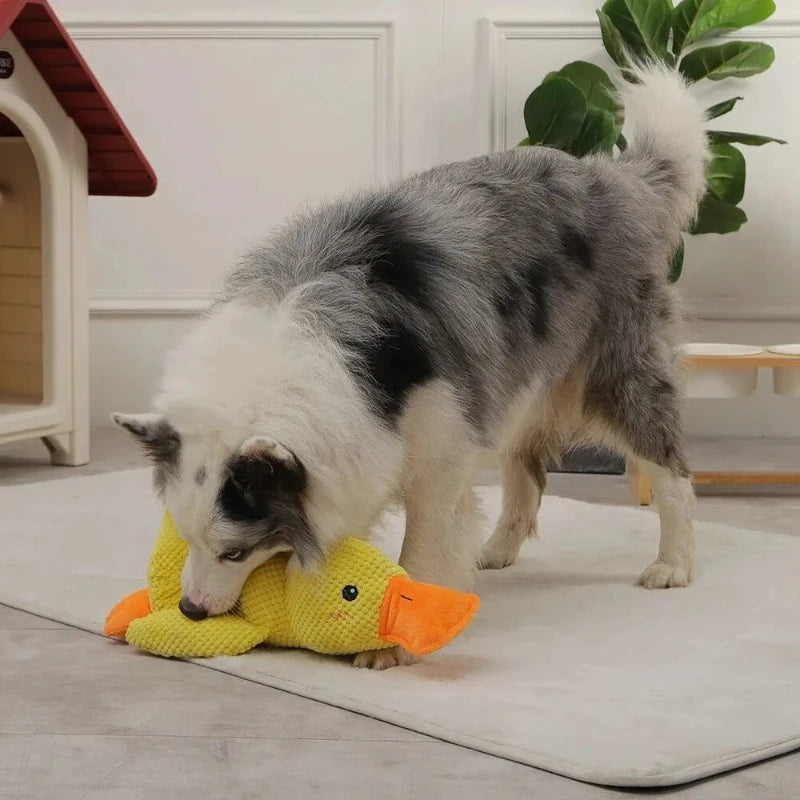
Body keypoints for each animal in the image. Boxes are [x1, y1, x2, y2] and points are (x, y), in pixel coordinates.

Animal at [114, 65, 708, 668]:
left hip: (618, 371)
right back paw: (496, 551)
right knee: (527, 471)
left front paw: (392, 647)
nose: (191, 610)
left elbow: (422, 544)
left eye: (235, 552)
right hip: (513, 381)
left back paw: (674, 564)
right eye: (186, 536)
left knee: (671, 471)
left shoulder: (438, 449)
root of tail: (613, 178)